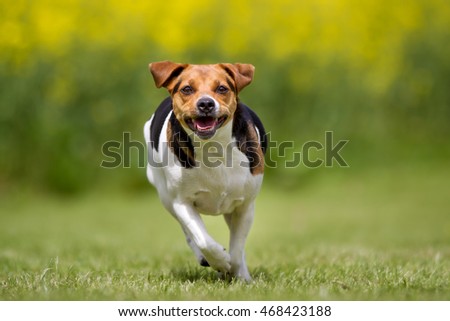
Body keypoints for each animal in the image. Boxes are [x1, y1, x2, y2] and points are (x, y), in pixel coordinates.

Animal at [143, 60, 268, 280]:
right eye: (187, 89)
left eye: (222, 88)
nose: (206, 104)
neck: (213, 147)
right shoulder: (181, 202)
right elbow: (202, 239)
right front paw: (220, 261)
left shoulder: (245, 206)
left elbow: (238, 249)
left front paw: (239, 274)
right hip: (165, 196)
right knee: (189, 233)